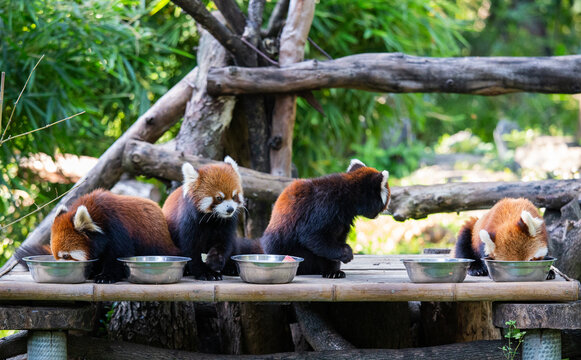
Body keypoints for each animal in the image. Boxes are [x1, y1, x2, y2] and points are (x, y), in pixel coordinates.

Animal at [50, 188, 178, 284]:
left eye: (66, 256)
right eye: (55, 256)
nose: (60, 270)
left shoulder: (116, 227)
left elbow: (117, 254)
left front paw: (106, 277)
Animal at [262, 160, 390, 278]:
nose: (387, 209)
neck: (348, 196)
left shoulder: (343, 221)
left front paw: (333, 270)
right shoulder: (324, 206)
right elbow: (312, 236)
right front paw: (346, 252)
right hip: (284, 246)